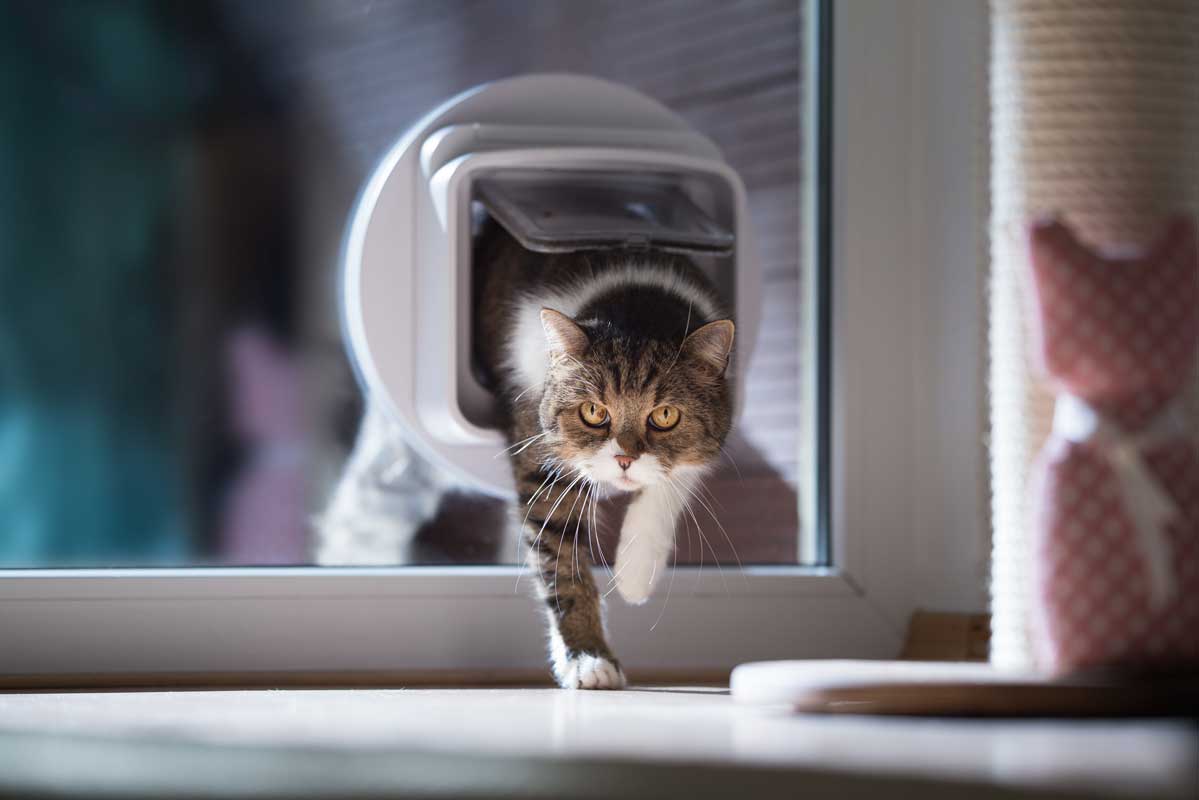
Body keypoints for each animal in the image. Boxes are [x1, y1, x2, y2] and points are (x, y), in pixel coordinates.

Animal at [318, 219, 733, 690]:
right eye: (594, 412)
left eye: (664, 415)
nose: (624, 460)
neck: (637, 301)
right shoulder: (542, 455)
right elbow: (562, 560)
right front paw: (587, 657)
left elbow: (673, 481)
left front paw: (635, 575)